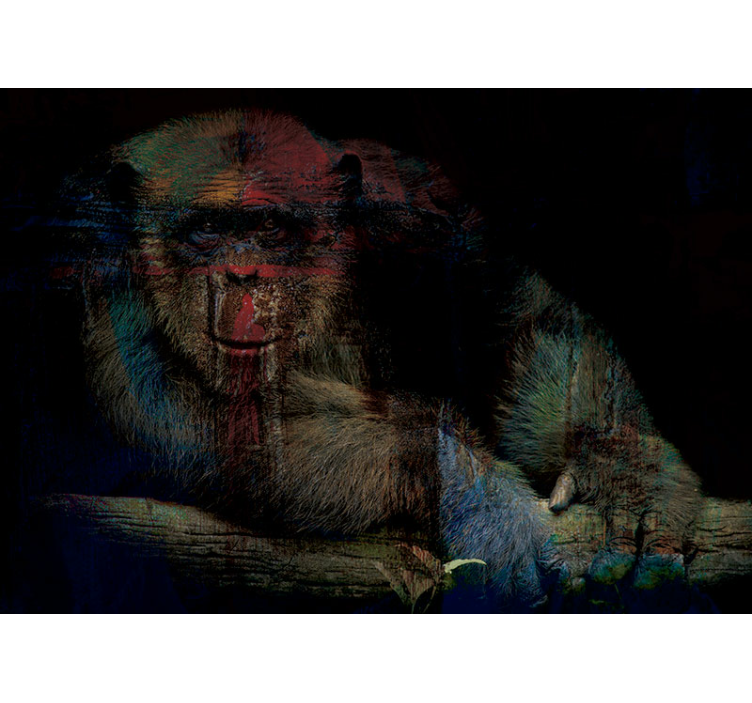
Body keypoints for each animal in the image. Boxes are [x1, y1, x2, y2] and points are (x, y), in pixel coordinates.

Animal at [52, 109, 701, 610]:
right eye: (207, 231)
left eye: (271, 228)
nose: (243, 274)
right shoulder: (87, 251)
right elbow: (168, 411)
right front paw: (482, 495)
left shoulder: (417, 213)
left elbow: (517, 320)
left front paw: (626, 480)